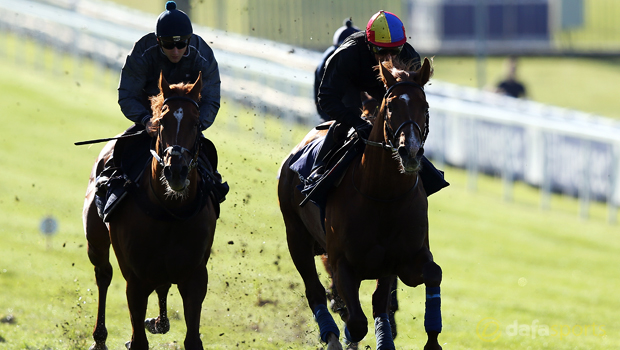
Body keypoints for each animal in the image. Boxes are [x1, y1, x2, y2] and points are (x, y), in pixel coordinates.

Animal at [81, 72, 218, 348]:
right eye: (162, 120)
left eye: (196, 123)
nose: (176, 171)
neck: (169, 210)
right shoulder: (136, 279)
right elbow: (139, 340)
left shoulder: (196, 276)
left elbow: (192, 338)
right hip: (96, 240)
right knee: (103, 274)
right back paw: (100, 338)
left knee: (162, 285)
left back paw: (159, 322)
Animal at [278, 58, 444, 350]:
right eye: (391, 106)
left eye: (424, 106)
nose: (410, 152)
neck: (383, 196)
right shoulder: (342, 263)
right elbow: (355, 322)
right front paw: (344, 337)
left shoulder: (401, 260)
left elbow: (430, 275)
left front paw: (430, 341)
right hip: (296, 236)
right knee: (315, 291)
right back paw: (331, 335)